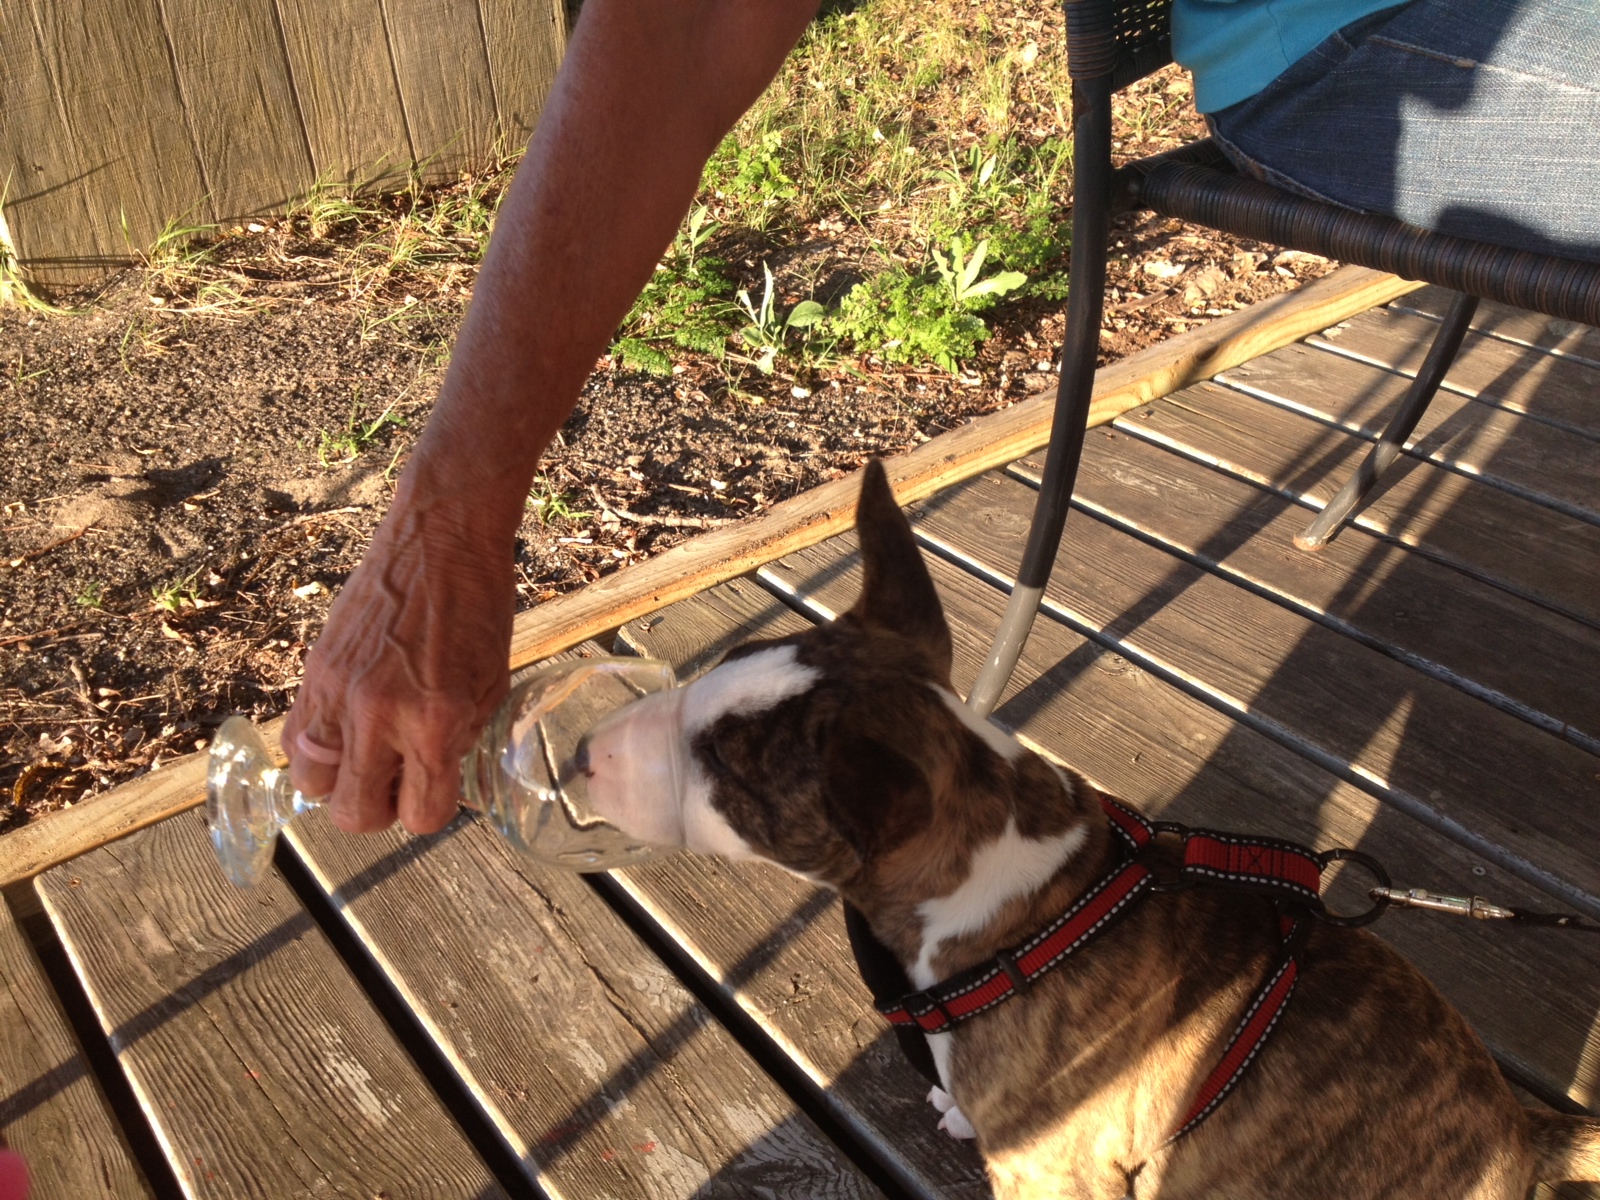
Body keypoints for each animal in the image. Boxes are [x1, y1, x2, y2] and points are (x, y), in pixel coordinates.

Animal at [582, 459, 1600, 1199]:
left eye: (726, 770)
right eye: (728, 664)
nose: (588, 748)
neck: (1023, 907)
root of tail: (1523, 1135)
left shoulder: (1054, 1172)